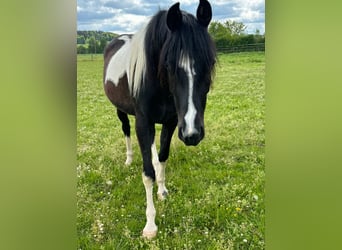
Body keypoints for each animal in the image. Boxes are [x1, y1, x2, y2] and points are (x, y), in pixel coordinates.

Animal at [103, 0, 216, 238]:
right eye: (169, 65)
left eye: (210, 63)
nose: (192, 133)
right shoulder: (143, 122)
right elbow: (147, 174)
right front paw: (150, 225)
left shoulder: (172, 121)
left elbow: (163, 156)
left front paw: (163, 191)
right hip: (121, 111)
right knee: (125, 130)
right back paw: (128, 159)